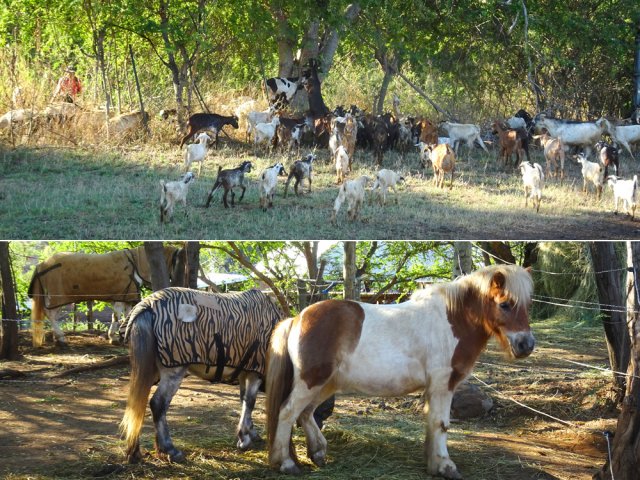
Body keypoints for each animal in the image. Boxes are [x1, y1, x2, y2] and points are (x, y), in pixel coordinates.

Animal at [28, 245, 183, 347]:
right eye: (176, 261)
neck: (135, 263)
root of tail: (41, 265)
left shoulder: (125, 297)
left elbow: (126, 315)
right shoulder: (120, 298)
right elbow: (117, 316)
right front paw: (114, 337)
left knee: (52, 315)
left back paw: (57, 337)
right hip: (57, 297)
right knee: (50, 314)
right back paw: (61, 338)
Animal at [120, 287, 284, 464]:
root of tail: (146, 305)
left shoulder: (244, 373)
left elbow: (244, 401)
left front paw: (251, 434)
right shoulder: (255, 372)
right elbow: (250, 402)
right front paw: (244, 439)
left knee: (138, 402)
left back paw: (135, 452)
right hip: (174, 370)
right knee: (158, 404)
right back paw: (170, 450)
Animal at [266, 264, 535, 479]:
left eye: (527, 305)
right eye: (505, 304)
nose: (526, 344)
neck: (452, 321)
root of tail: (297, 318)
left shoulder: (435, 388)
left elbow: (432, 424)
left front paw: (433, 463)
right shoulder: (442, 385)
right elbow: (441, 424)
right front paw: (445, 466)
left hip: (324, 384)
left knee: (305, 414)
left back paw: (318, 453)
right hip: (311, 381)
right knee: (288, 413)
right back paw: (286, 463)